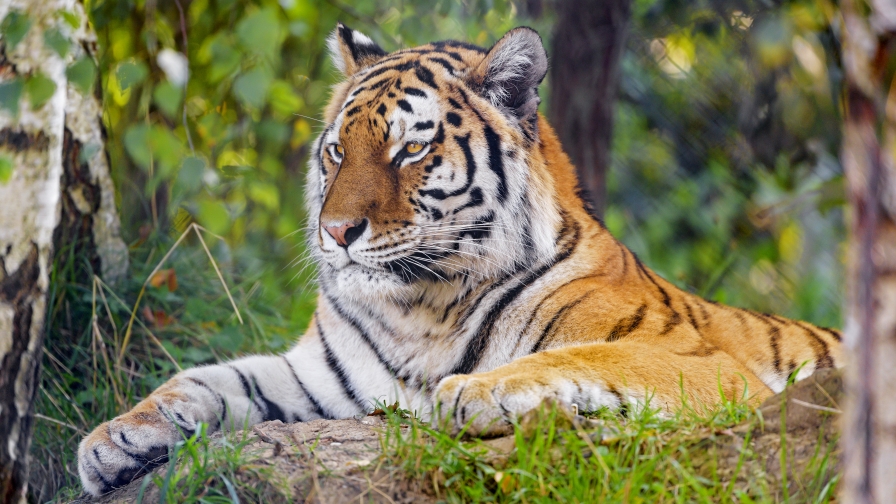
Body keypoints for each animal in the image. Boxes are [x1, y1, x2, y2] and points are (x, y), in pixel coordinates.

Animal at [78, 24, 843, 496]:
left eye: (409, 149)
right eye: (337, 152)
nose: (335, 231)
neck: (420, 306)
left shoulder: (704, 363)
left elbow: (591, 354)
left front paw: (473, 391)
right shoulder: (320, 378)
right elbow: (206, 378)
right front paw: (112, 439)